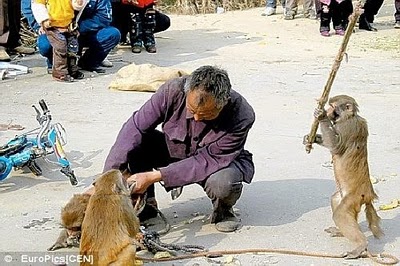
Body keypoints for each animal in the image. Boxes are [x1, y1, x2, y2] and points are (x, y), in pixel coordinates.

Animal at [304, 95, 382, 258]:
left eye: (333, 106)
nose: (327, 111)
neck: (348, 117)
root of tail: (369, 195)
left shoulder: (346, 127)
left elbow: (335, 146)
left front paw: (321, 116)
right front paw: (310, 138)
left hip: (355, 196)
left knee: (340, 214)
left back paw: (361, 245)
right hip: (348, 196)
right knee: (336, 200)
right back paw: (342, 232)